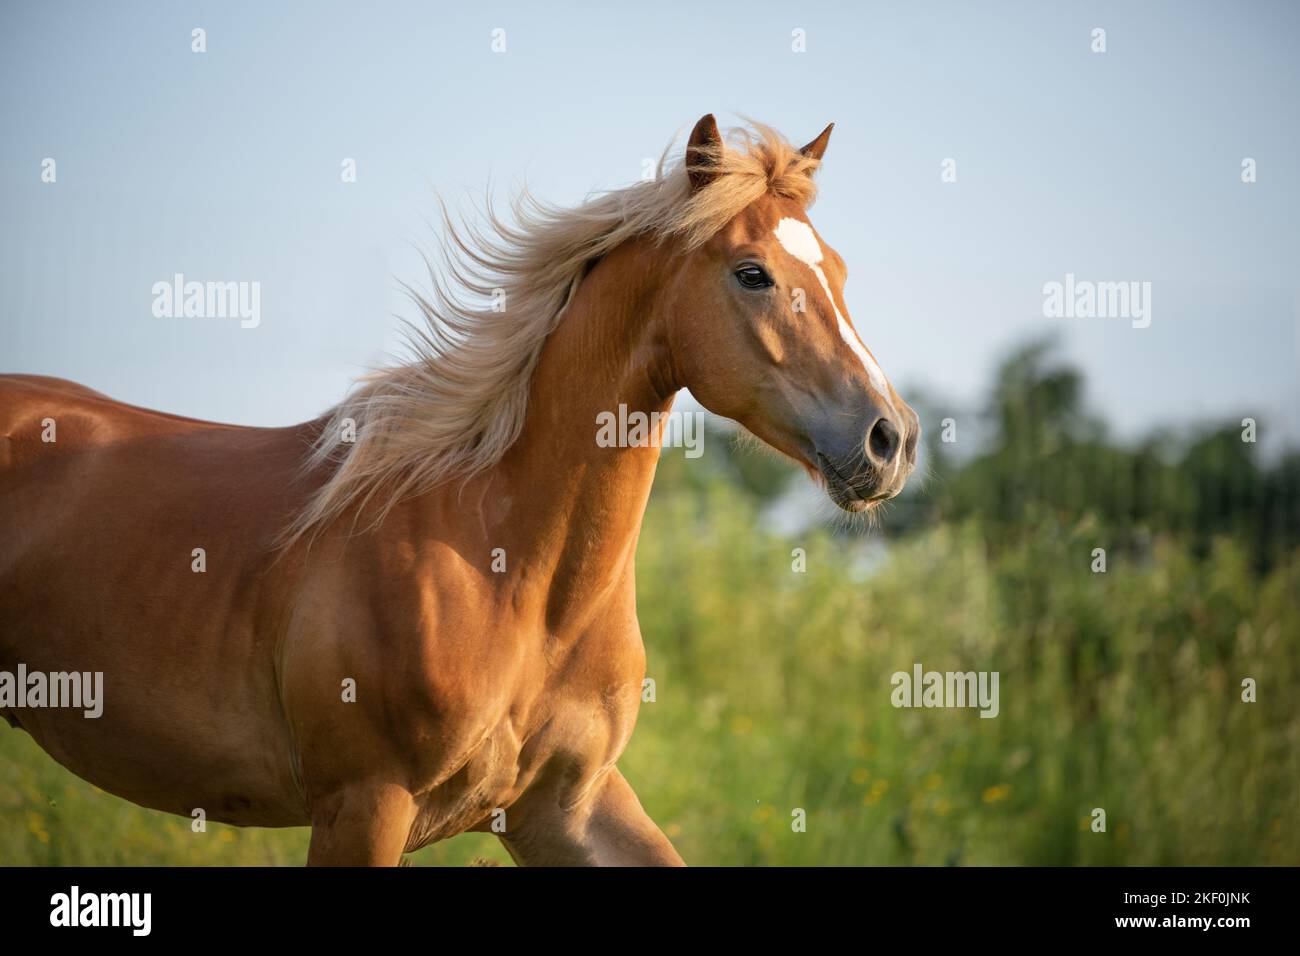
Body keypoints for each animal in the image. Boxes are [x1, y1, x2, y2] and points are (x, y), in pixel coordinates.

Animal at [0, 113, 920, 868]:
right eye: (752, 273)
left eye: (837, 270)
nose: (891, 438)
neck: (513, 575)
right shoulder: (364, 806)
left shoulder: (568, 805)